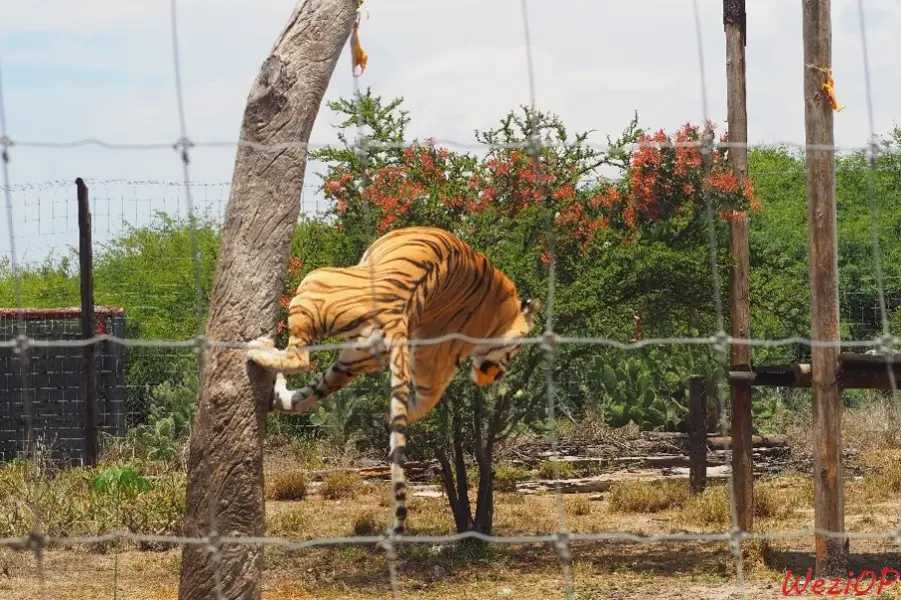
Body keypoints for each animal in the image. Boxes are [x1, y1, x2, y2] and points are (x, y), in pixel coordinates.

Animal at [245, 225, 541, 536]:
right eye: (515, 351)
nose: (498, 376)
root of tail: (396, 321)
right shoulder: (436, 356)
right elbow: (422, 400)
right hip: (355, 359)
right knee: (314, 395)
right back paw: (278, 394)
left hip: (314, 280)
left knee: (300, 359)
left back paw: (258, 350)